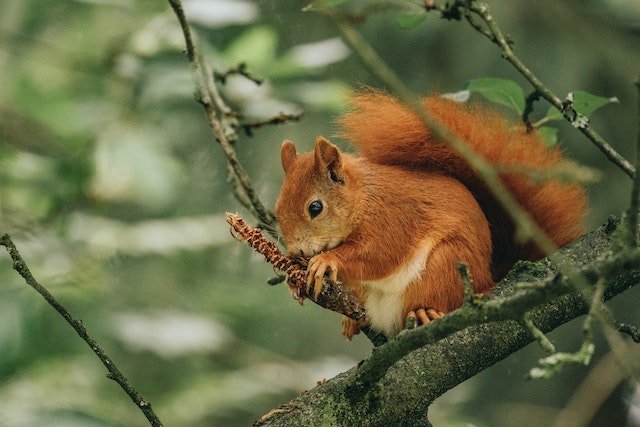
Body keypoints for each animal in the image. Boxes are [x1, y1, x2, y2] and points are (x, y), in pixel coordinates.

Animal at [275, 90, 587, 339]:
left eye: (315, 208)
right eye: (277, 210)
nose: (296, 251)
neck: (363, 198)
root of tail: (488, 278)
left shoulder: (393, 218)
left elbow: (379, 254)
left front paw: (326, 260)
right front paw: (293, 277)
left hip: (446, 264)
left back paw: (426, 311)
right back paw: (352, 320)